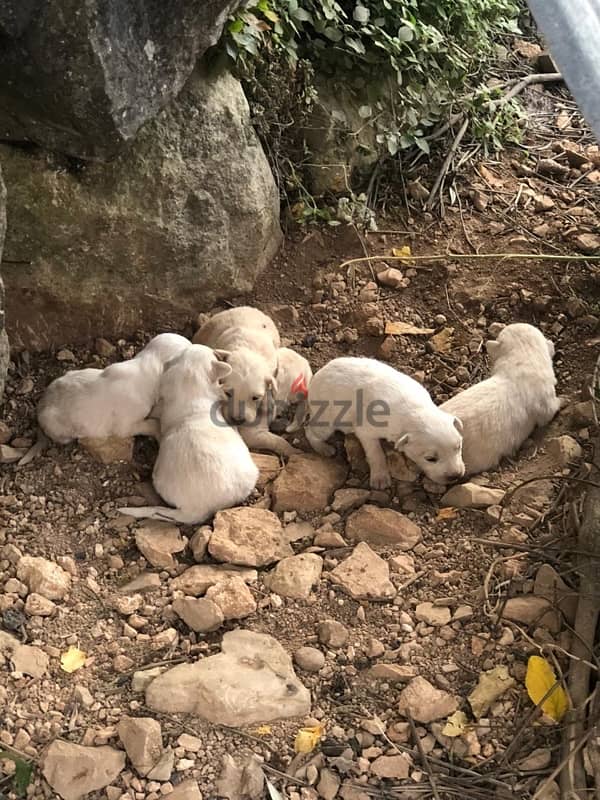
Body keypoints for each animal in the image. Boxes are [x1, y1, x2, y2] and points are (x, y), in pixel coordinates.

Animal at [304, 358, 464, 488]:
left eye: (458, 447)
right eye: (430, 459)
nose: (455, 476)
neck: (415, 410)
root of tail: (316, 376)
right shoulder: (366, 431)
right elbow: (376, 453)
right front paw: (380, 477)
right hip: (326, 420)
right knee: (310, 431)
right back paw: (323, 448)